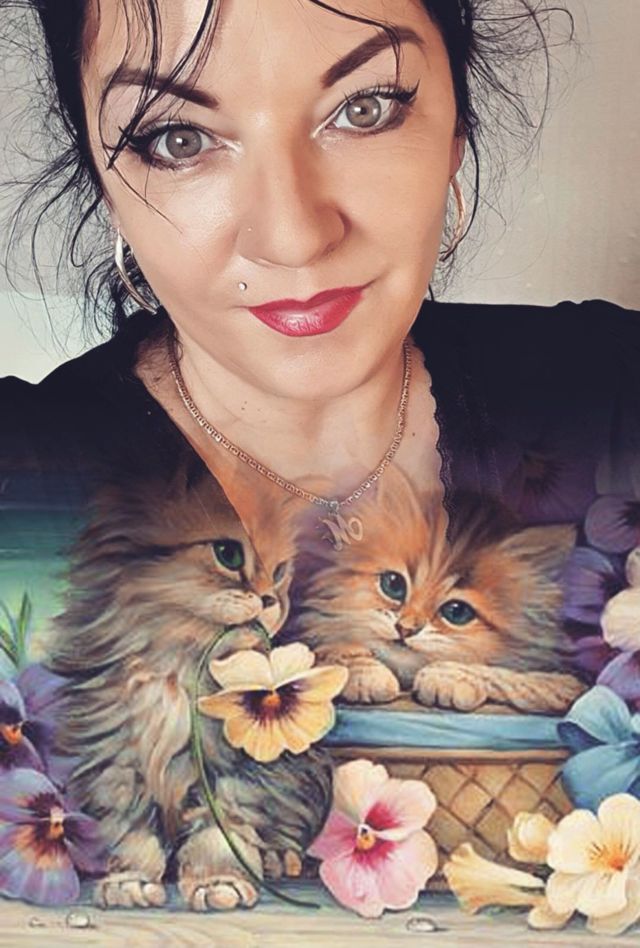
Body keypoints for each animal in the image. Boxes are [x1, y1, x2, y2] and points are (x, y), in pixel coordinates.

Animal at [44, 449, 332, 911]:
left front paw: (219, 881)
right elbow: (133, 834)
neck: (177, 668)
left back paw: (277, 858)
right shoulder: (119, 763)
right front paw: (129, 880)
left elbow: (222, 832)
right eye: (228, 554)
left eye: (280, 570)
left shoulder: (239, 773)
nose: (271, 599)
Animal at [285, 464, 587, 714]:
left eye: (457, 612)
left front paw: (446, 679)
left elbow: (507, 674)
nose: (405, 629)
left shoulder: (567, 684)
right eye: (393, 585)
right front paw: (364, 673)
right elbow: (330, 649)